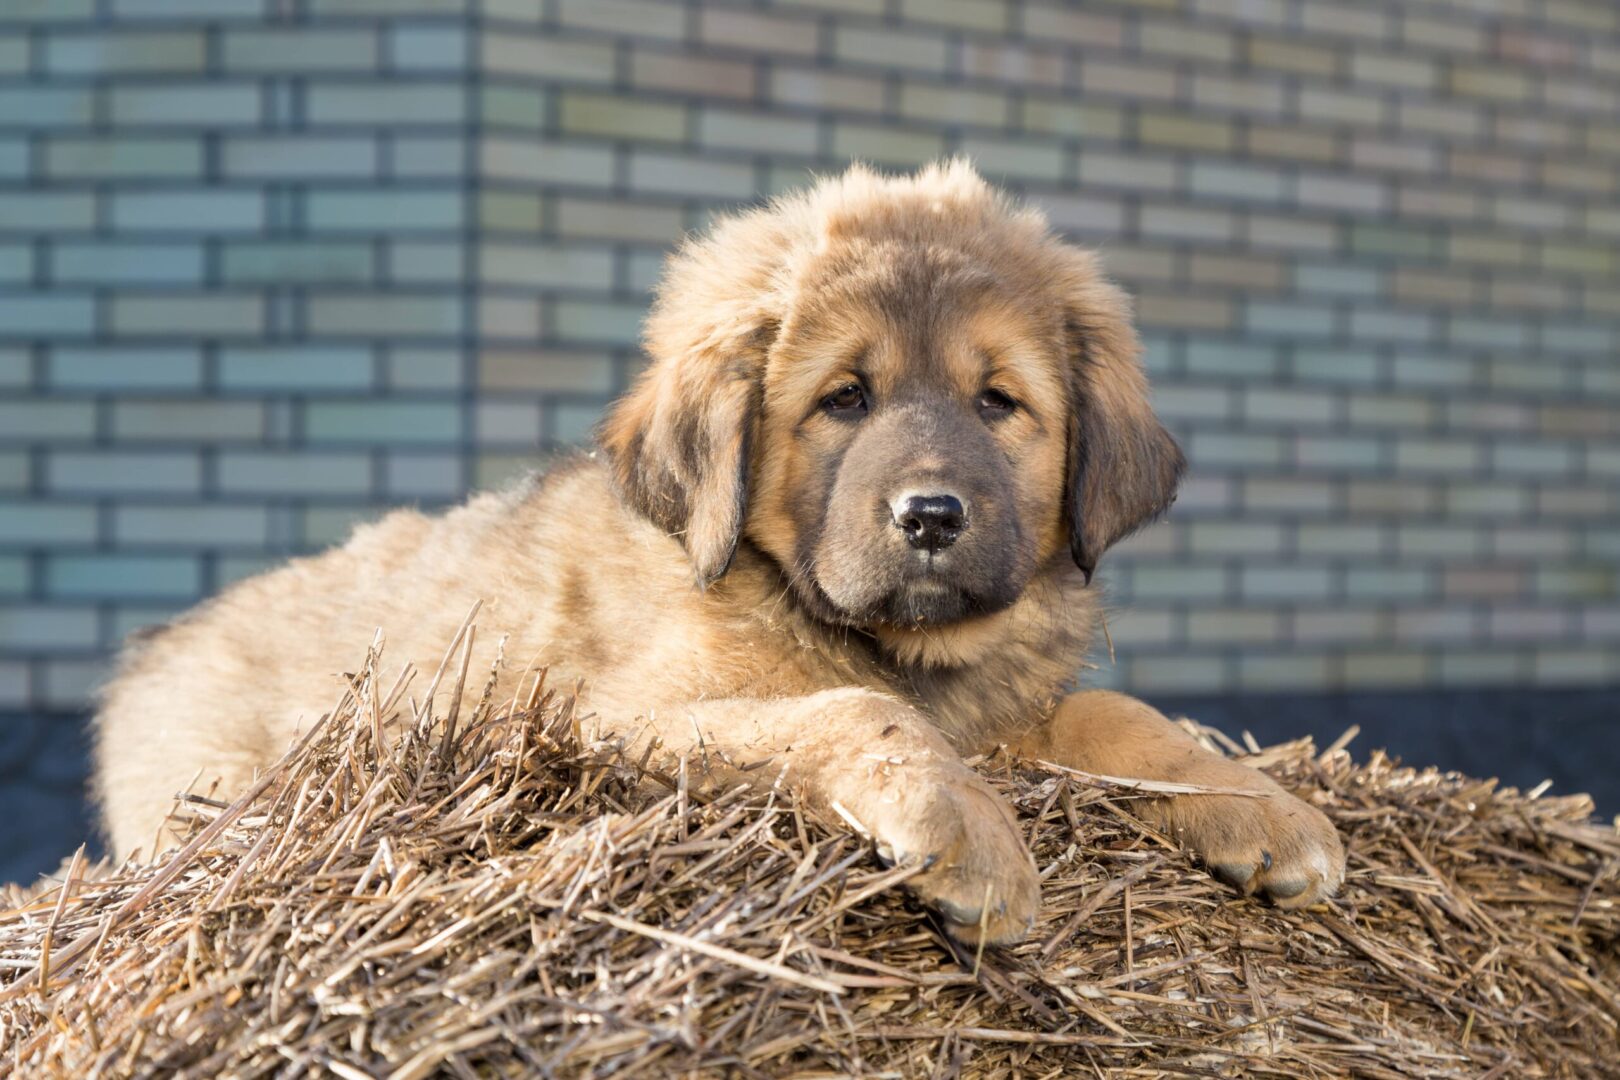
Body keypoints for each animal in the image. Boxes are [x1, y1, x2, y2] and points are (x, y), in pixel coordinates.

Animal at [94, 162, 1347, 945]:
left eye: (998, 403)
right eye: (846, 399)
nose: (931, 517)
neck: (893, 645)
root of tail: (159, 643)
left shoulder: (1011, 709)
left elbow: (1123, 714)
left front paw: (1263, 808)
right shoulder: (618, 716)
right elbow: (851, 713)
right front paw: (971, 835)